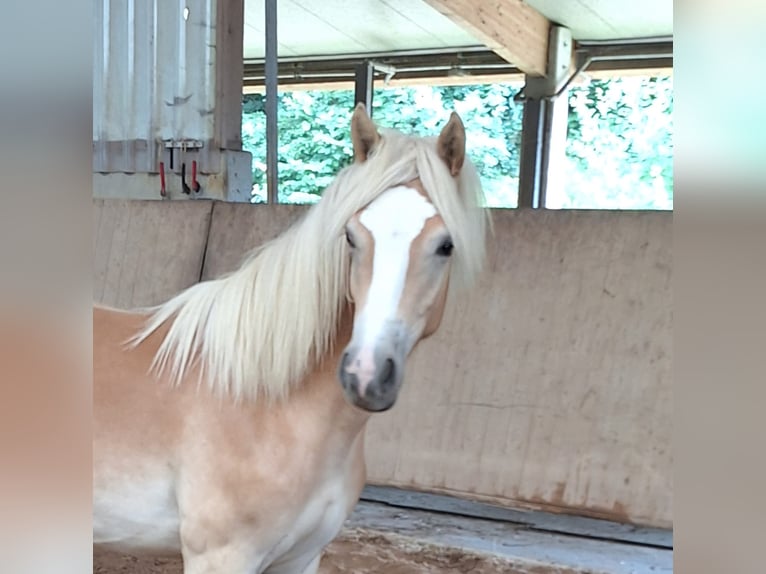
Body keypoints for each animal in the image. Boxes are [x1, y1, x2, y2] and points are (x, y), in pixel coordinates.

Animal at [94, 104, 492, 574]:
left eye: (446, 245)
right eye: (351, 236)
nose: (365, 374)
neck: (270, 406)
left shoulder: (301, 558)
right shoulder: (221, 557)